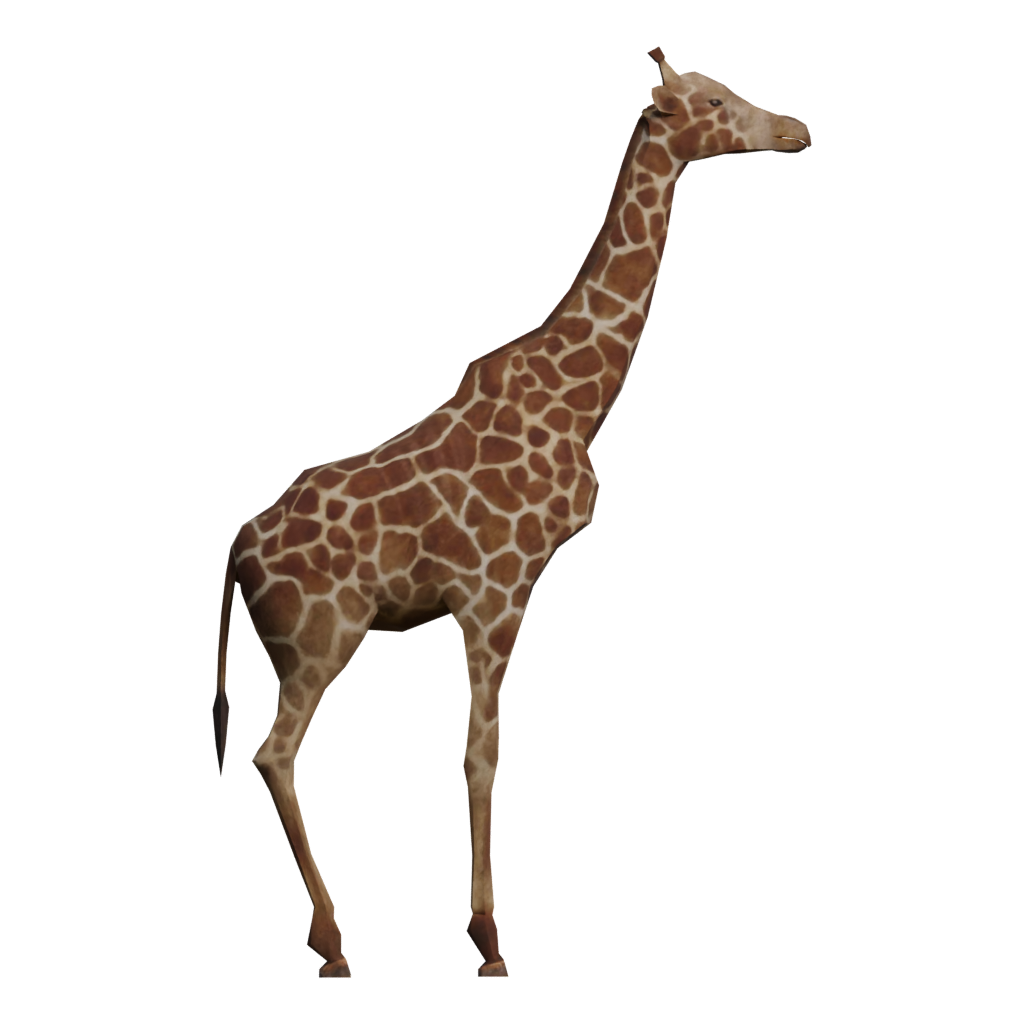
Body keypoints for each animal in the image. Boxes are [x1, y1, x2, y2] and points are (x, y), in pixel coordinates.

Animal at [213, 46, 810, 979]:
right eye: (713, 102)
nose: (798, 129)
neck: (577, 405)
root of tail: (238, 543)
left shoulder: (490, 601)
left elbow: (478, 752)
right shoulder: (496, 594)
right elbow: (482, 754)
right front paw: (490, 941)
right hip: (318, 643)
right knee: (275, 753)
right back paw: (334, 945)